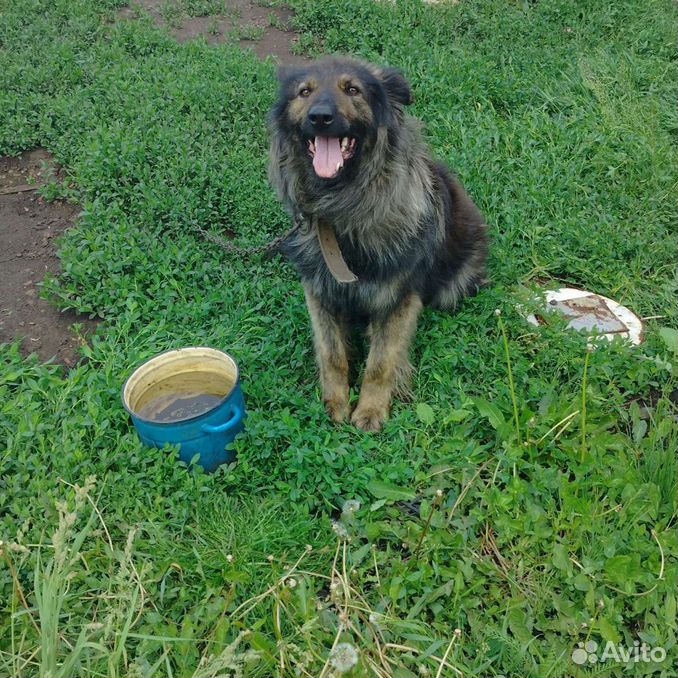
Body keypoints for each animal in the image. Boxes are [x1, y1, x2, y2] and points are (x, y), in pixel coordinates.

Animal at [266, 57, 488, 430]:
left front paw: (370, 410)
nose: (320, 117)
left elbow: (381, 362)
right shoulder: (319, 291)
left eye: (352, 89)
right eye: (304, 92)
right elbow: (332, 354)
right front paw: (334, 403)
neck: (342, 208)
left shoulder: (399, 297)